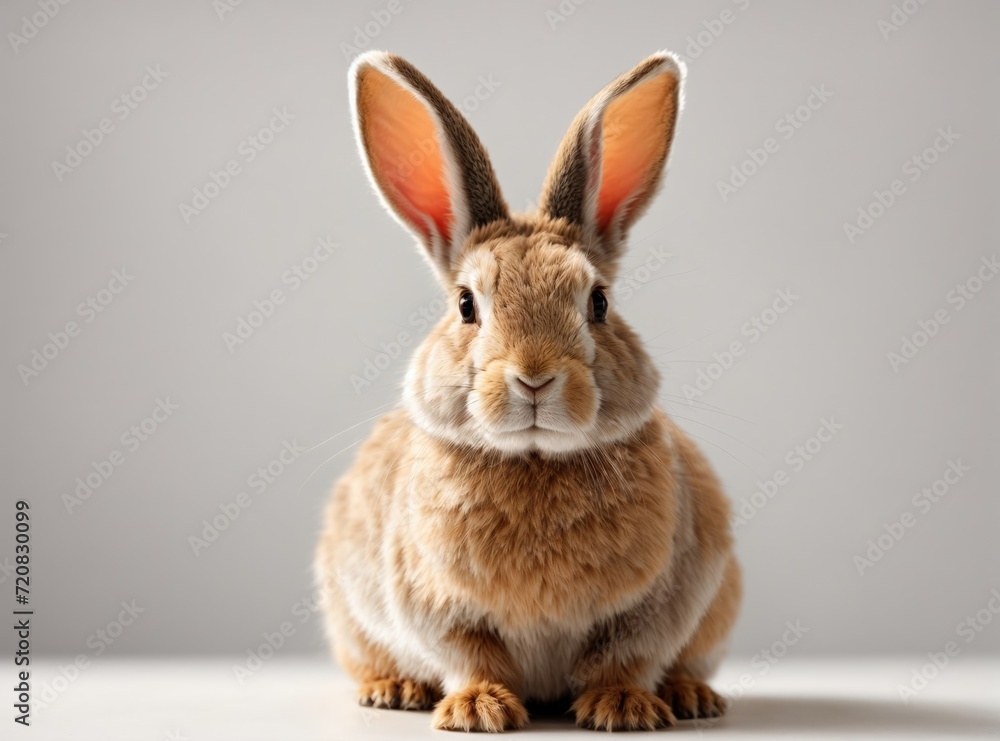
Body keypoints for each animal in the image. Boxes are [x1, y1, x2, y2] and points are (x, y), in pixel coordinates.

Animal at [315, 49, 741, 733]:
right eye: (467, 305)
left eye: (598, 302)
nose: (534, 376)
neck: (535, 458)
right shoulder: (439, 606)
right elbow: (470, 655)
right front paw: (477, 710)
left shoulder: (656, 603)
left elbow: (625, 656)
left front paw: (623, 709)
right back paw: (395, 689)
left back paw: (690, 697)